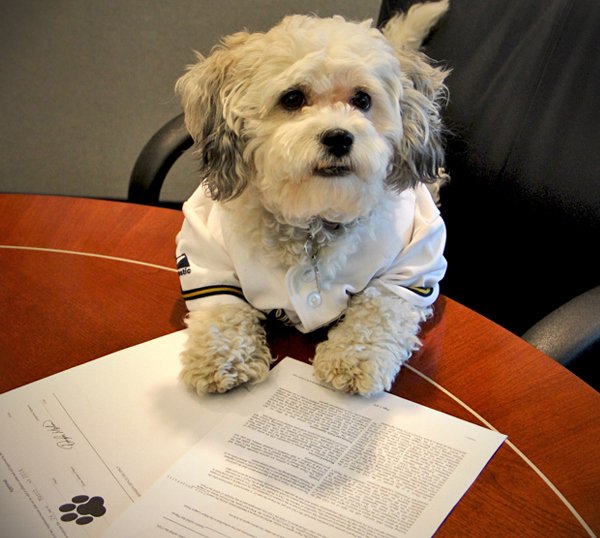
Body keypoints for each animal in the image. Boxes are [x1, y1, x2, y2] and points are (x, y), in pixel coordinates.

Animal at [175, 0, 450, 396]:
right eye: (292, 98)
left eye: (362, 99)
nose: (339, 137)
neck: (313, 222)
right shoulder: (204, 253)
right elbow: (221, 308)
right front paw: (221, 357)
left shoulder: (412, 266)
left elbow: (379, 311)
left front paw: (352, 359)